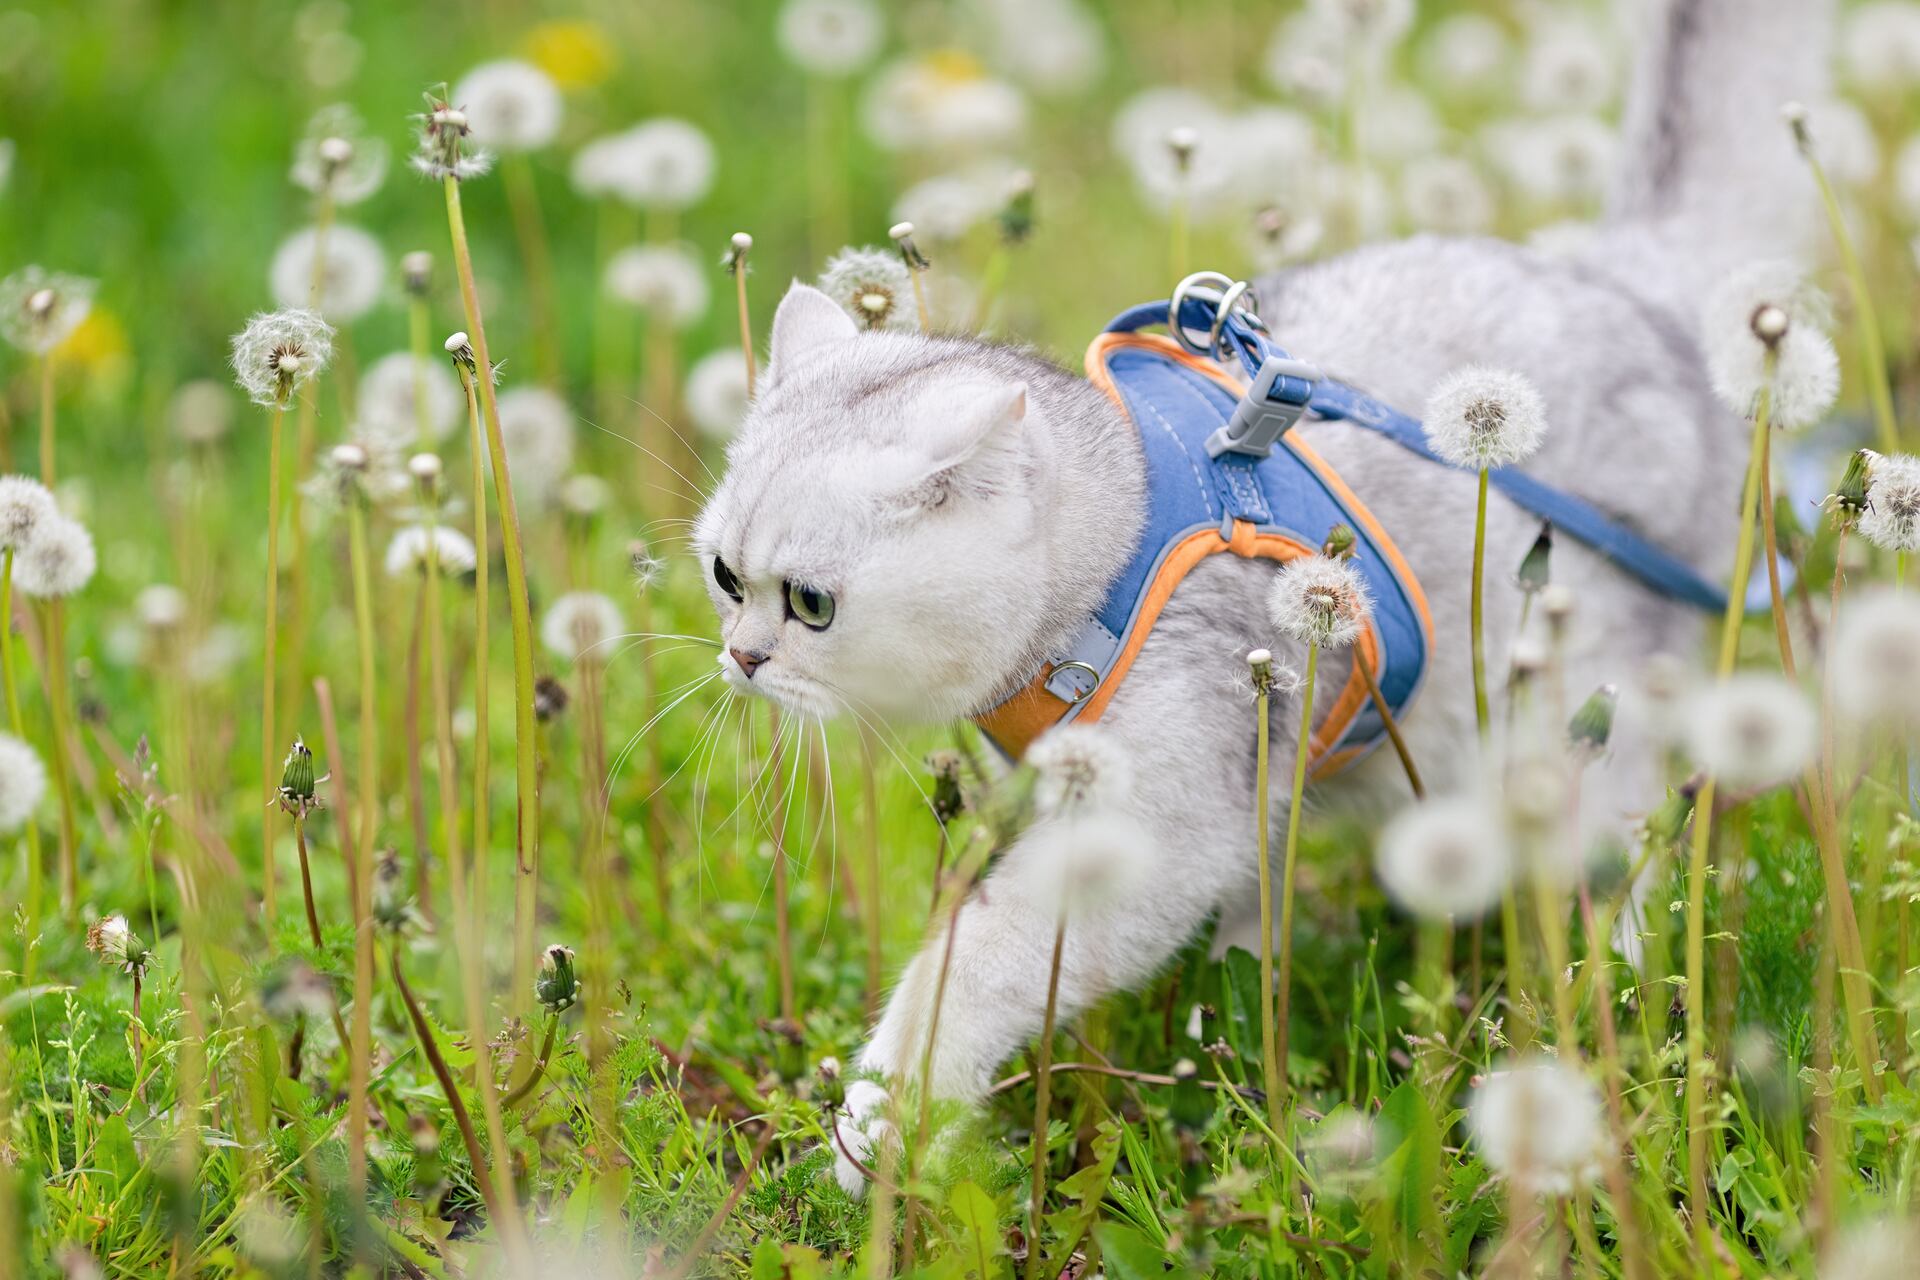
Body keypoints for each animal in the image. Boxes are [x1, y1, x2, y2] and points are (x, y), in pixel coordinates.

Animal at [691, 2, 1827, 1205]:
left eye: (811, 602)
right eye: (726, 577)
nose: (743, 658)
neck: (1119, 543)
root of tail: (1627, 278)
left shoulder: (1155, 833)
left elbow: (975, 958)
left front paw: (880, 1119)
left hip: (1570, 730)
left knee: (1631, 863)